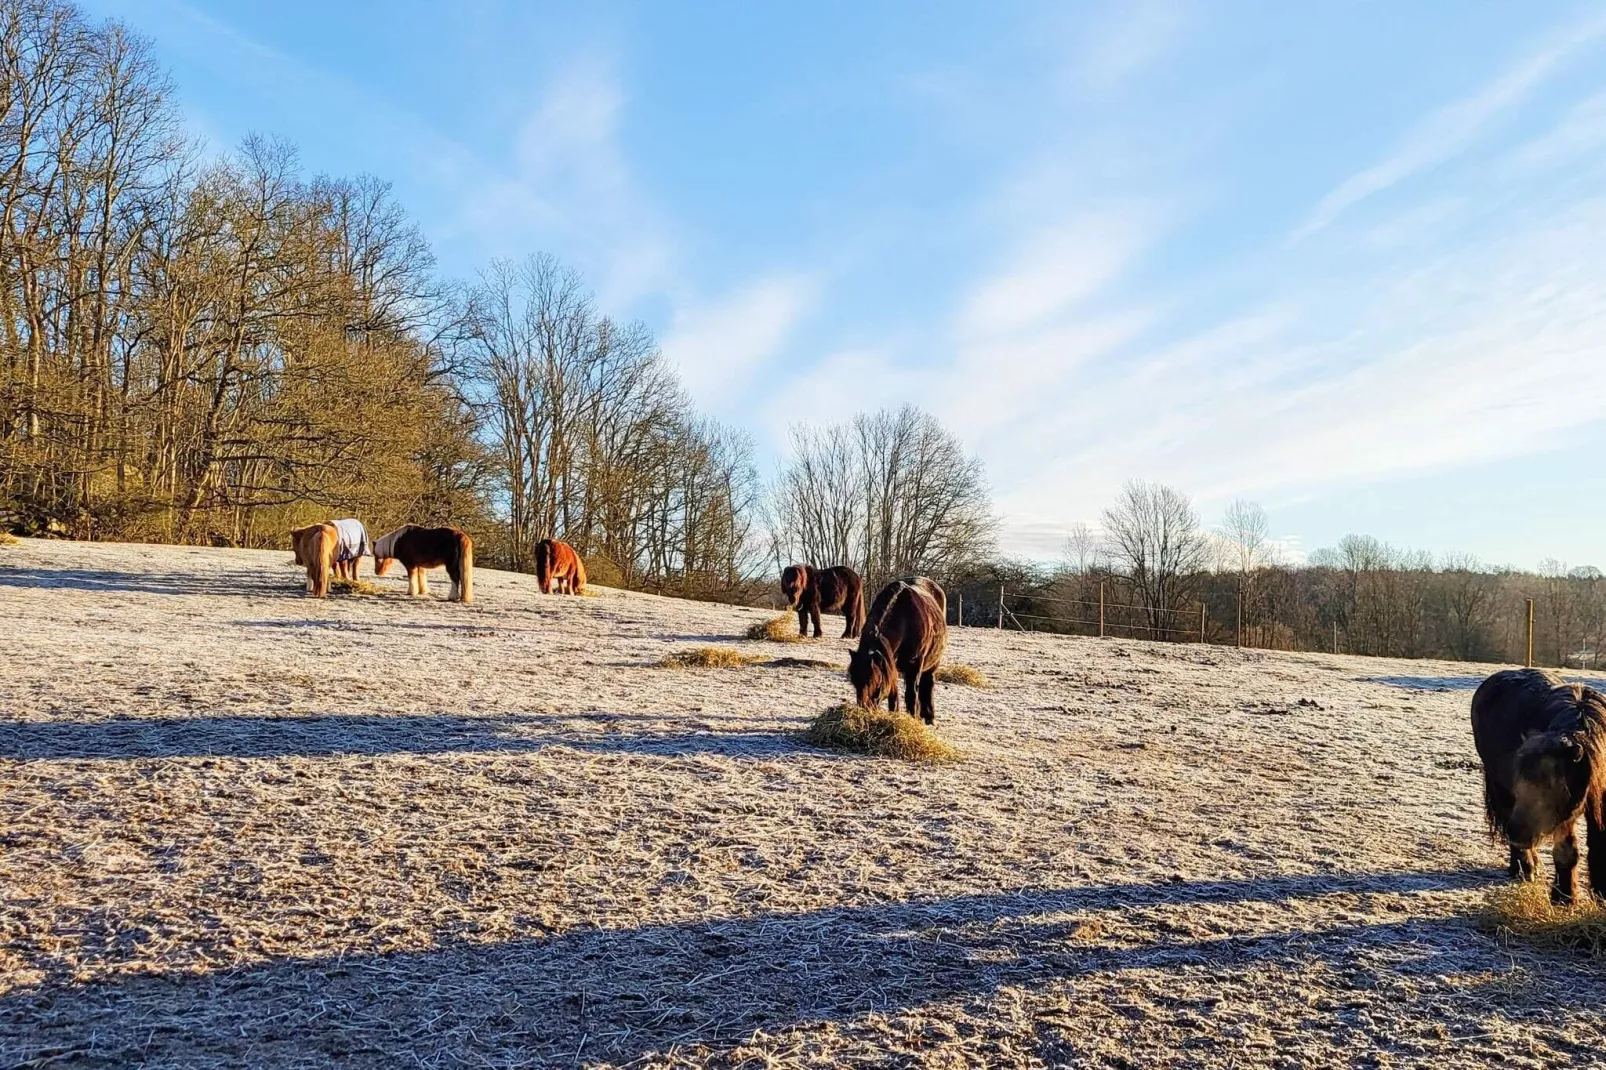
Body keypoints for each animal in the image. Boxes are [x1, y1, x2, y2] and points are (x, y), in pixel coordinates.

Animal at [847, 575, 944, 726]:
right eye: (854, 681)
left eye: (874, 681)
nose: (865, 709)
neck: (905, 618)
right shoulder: (890, 665)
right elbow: (894, 694)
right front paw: (894, 714)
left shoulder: (914, 666)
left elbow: (911, 694)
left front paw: (913, 718)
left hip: (932, 664)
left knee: (927, 684)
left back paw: (929, 717)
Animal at [1471, 668, 1606, 899]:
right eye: (1520, 780)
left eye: (1552, 785)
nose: (1516, 832)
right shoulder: (1565, 814)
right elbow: (1566, 852)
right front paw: (1563, 897)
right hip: (1499, 788)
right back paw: (1525, 869)